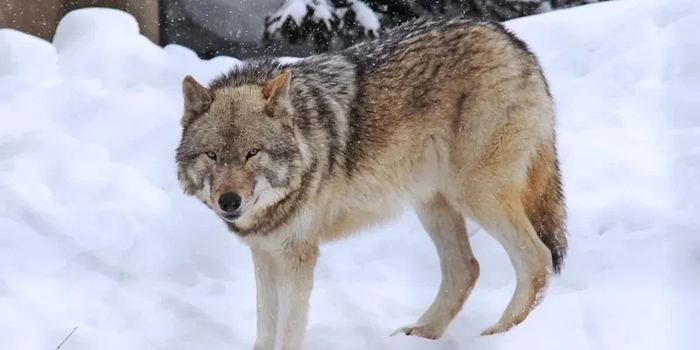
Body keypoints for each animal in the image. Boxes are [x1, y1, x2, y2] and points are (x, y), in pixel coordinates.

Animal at [176, 15, 568, 350]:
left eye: (252, 153)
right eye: (212, 155)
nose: (229, 201)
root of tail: (513, 41)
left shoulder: (297, 255)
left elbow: (288, 330)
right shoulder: (266, 253)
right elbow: (265, 327)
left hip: (476, 195)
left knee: (537, 259)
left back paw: (501, 335)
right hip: (432, 203)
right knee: (466, 269)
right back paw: (421, 333)